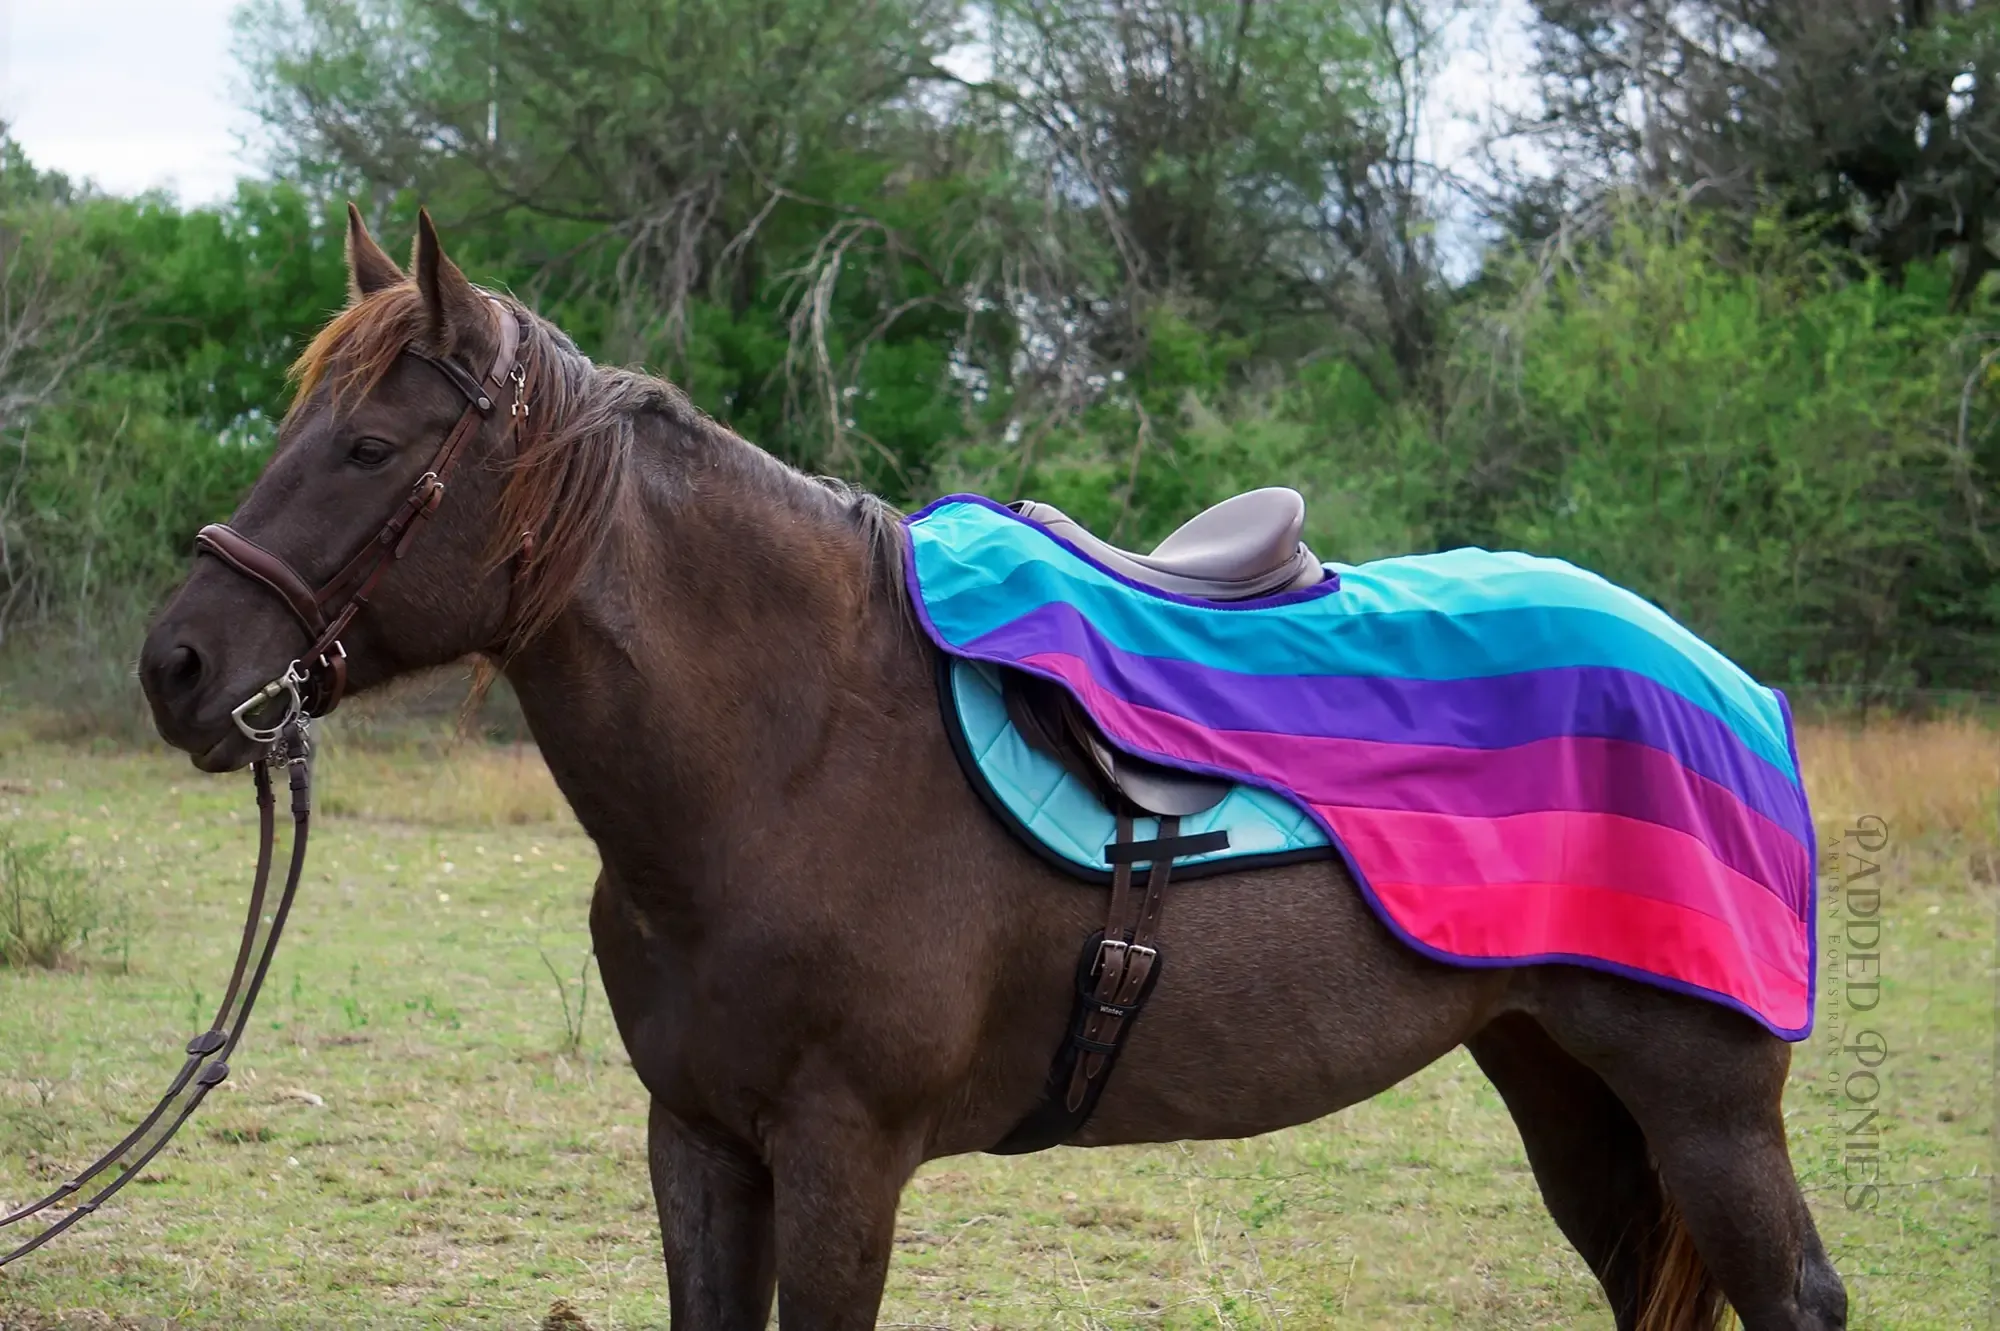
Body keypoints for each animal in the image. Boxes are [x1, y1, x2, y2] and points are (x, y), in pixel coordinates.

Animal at [137, 209, 1840, 1327]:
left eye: (368, 449)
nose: (181, 666)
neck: (796, 758)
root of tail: (1721, 682)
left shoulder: (844, 1160)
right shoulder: (698, 1140)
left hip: (1703, 1101)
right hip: (1559, 1076)